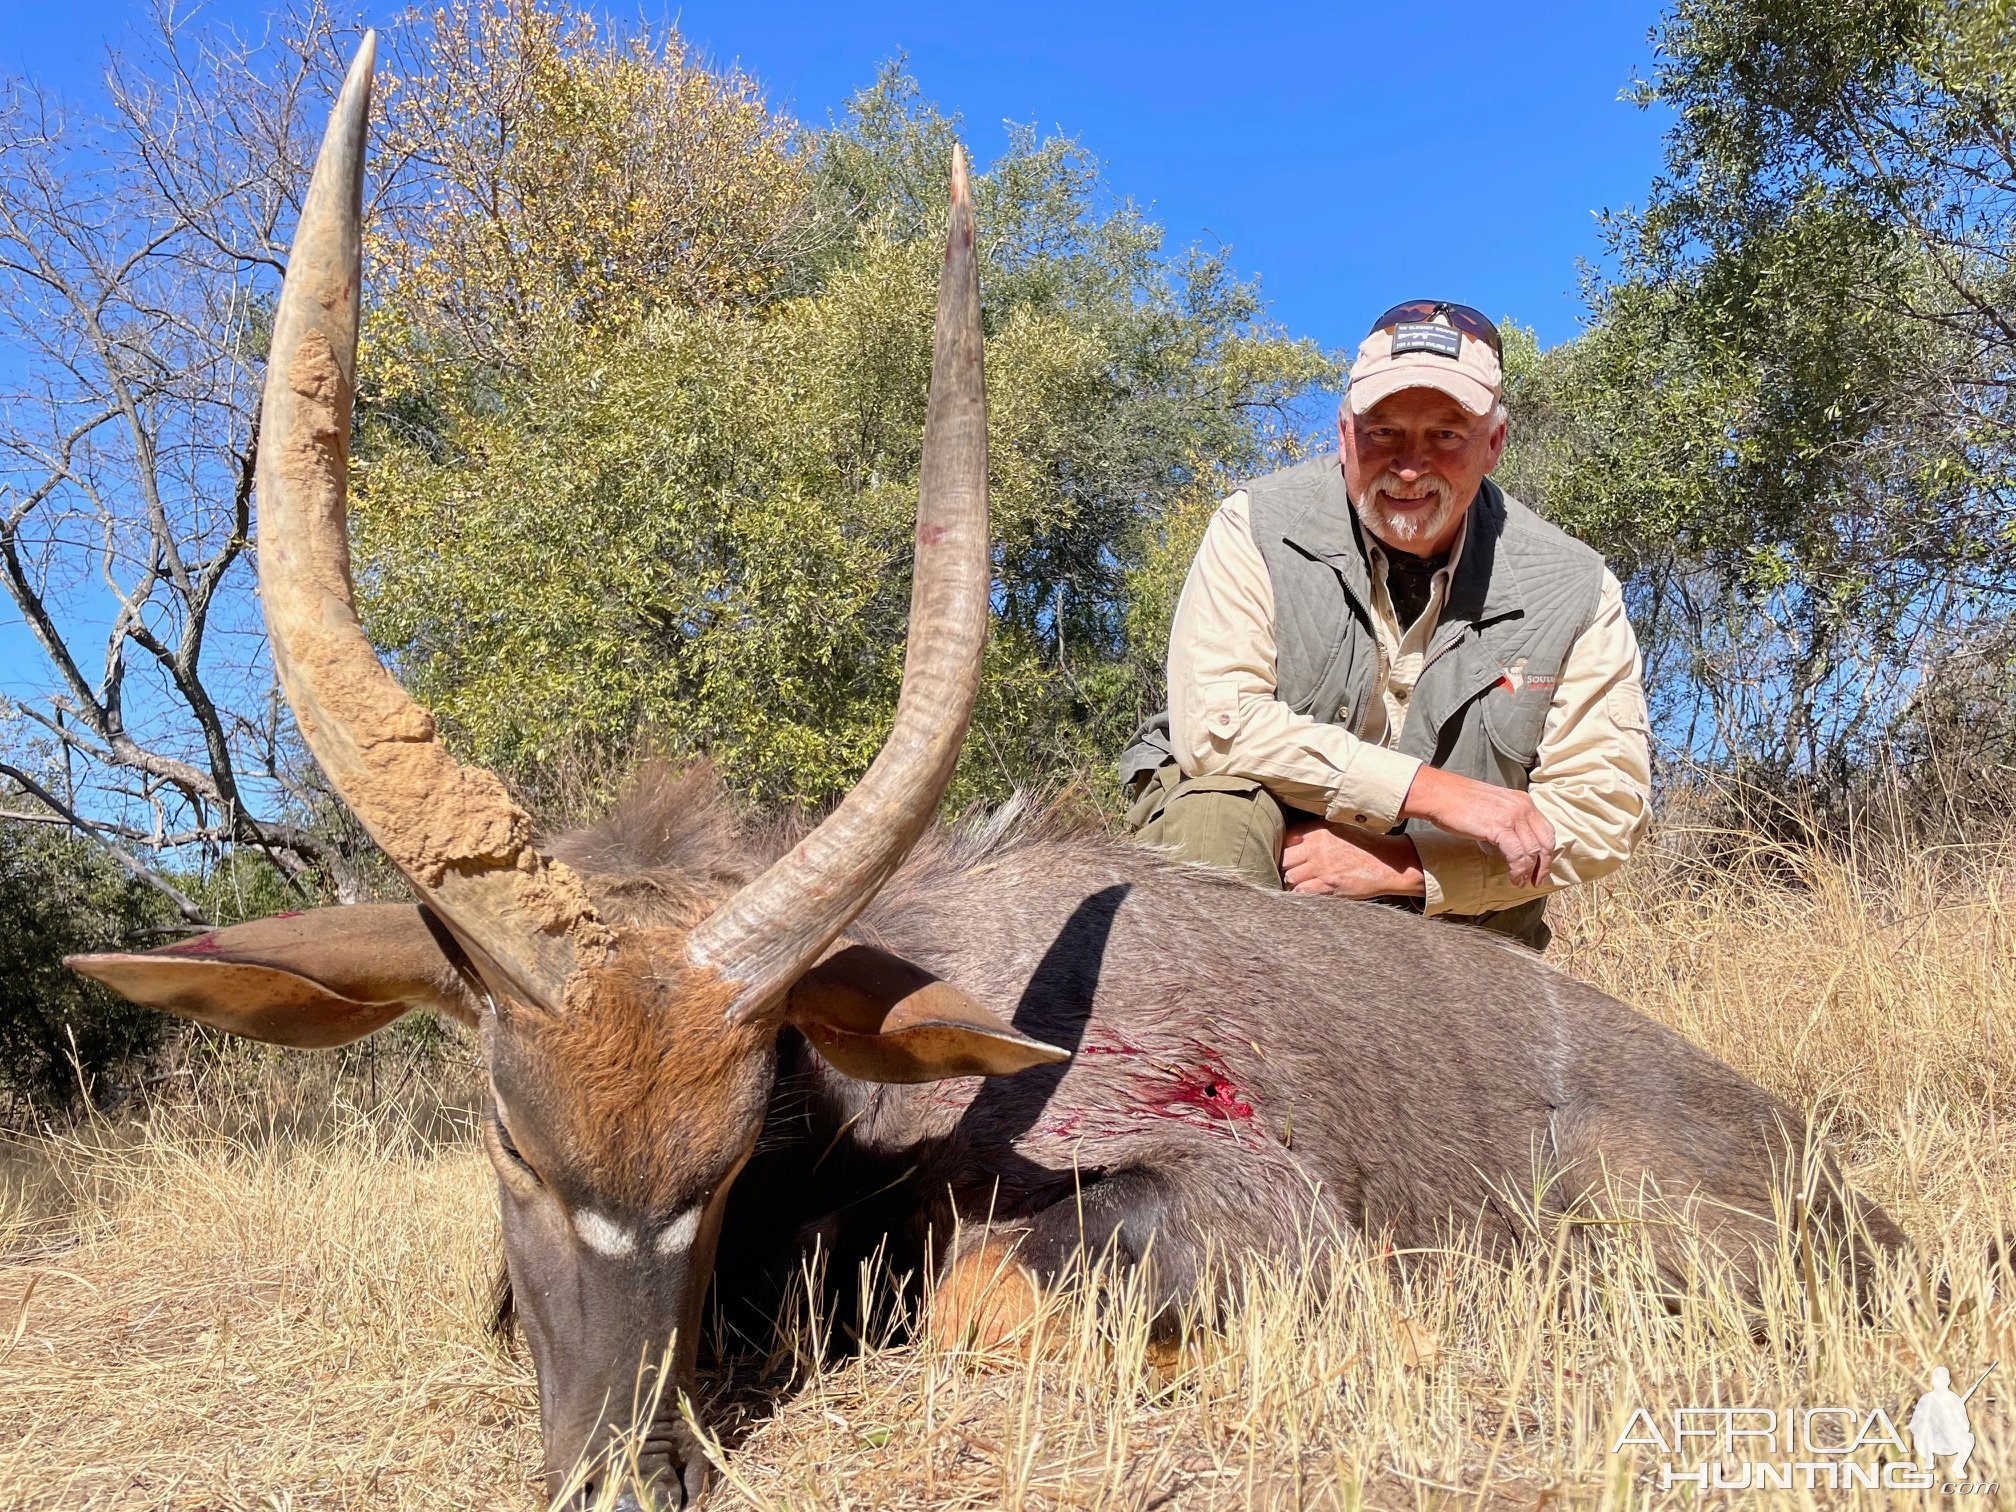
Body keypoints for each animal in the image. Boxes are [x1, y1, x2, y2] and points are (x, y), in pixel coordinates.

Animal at [63, 29, 1895, 1507]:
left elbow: (982, 1296)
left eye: (723, 1159)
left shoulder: (1230, 1204)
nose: (617, 1467)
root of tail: (1816, 1156)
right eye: (510, 1138)